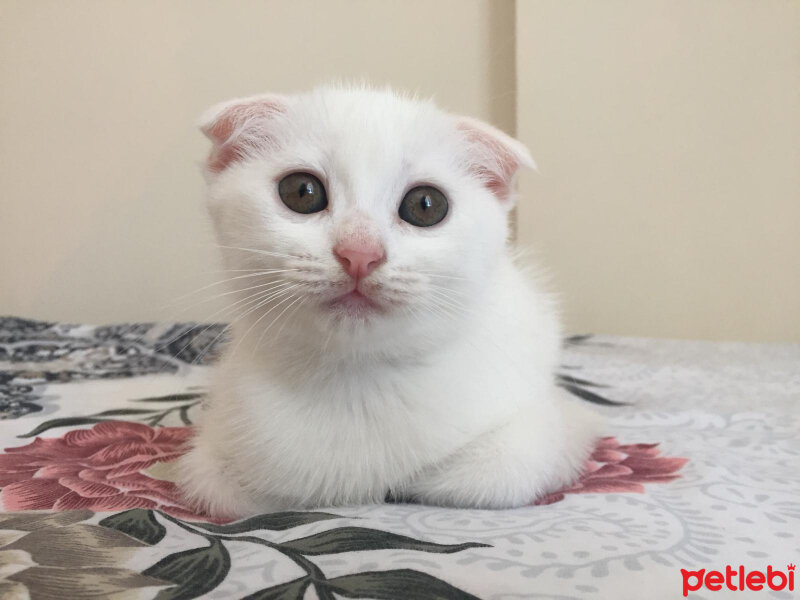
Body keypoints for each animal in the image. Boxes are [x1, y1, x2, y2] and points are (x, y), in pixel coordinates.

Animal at [177, 86, 600, 516]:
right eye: (301, 191)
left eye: (426, 204)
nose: (360, 253)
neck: (357, 379)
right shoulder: (213, 464)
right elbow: (244, 496)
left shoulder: (557, 425)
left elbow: (496, 474)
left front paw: (411, 482)